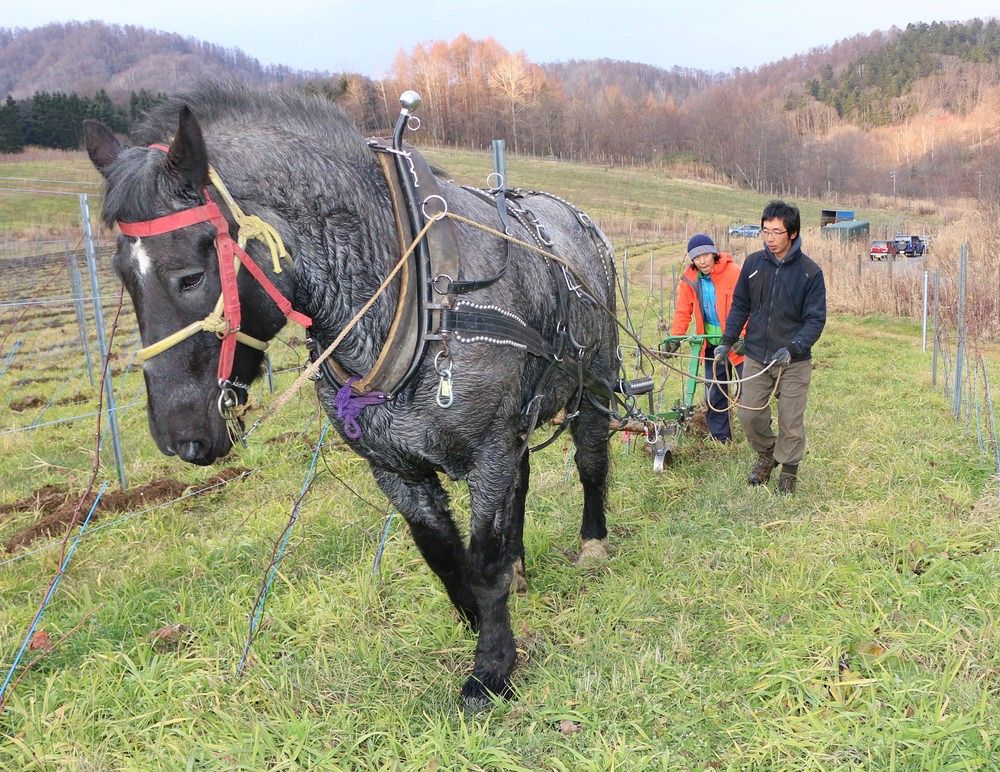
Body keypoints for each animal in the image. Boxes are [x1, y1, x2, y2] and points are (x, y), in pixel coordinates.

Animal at [83, 81, 619, 711]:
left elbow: (483, 564)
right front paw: (481, 622)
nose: (179, 436)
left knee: (590, 460)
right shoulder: (395, 466)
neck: (416, 287)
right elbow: (446, 558)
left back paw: (592, 542)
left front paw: (492, 667)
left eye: (191, 274)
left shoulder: (489, 446)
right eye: (122, 274)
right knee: (523, 483)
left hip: (596, 380)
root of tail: (575, 218)